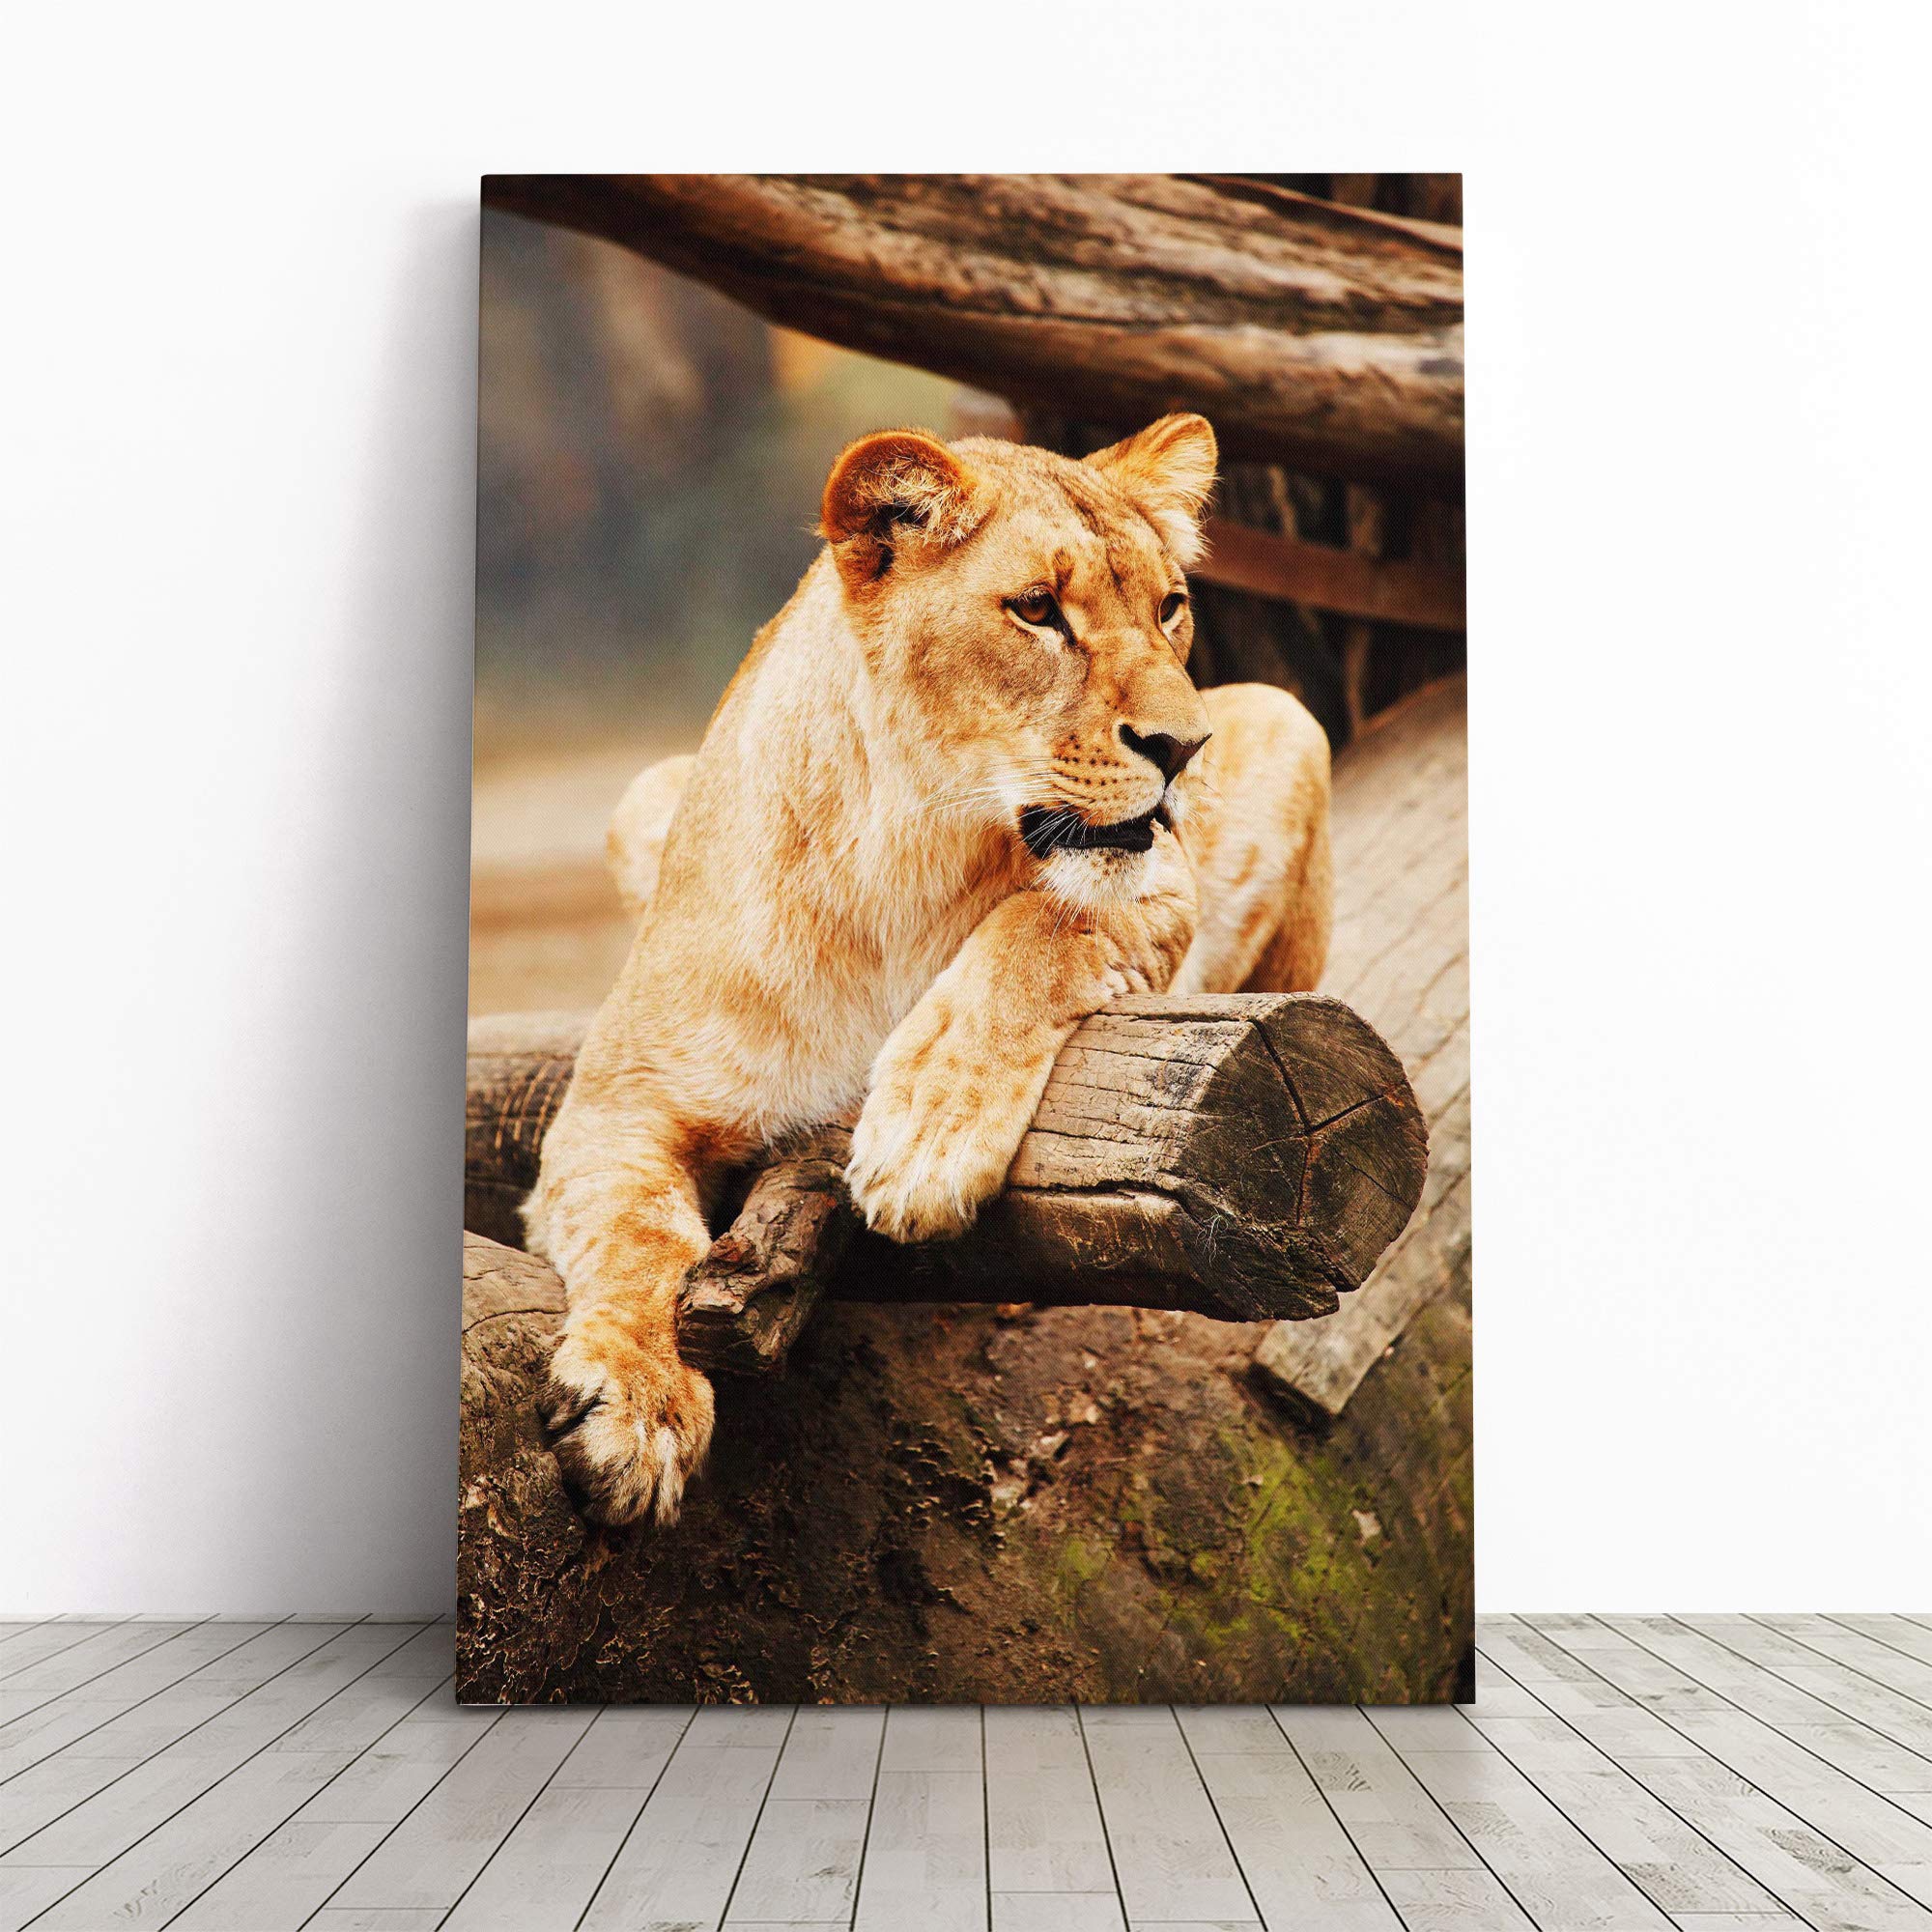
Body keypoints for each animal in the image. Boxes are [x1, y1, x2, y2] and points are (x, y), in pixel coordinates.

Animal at [526, 414, 1332, 1527]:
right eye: (1036, 610)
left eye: (1169, 607)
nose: (1184, 747)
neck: (902, 859)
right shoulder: (616, 1102)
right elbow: (634, 1234)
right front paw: (637, 1408)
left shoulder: (1158, 883)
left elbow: (1040, 923)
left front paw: (924, 1139)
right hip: (645, 794)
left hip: (1290, 718)